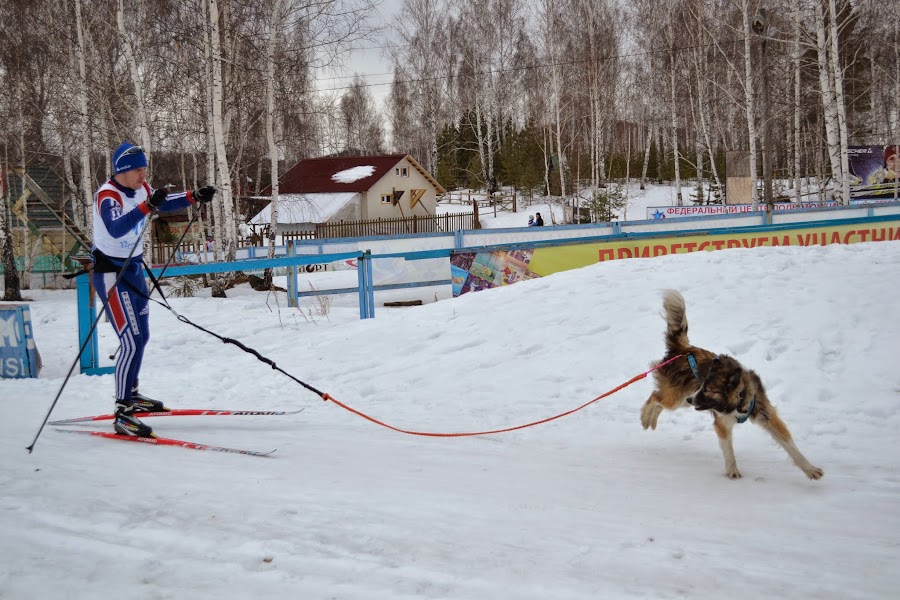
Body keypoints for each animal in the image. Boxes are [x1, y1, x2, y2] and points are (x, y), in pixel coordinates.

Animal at [640, 288, 824, 480]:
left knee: (659, 402)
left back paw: (651, 420)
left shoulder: (766, 414)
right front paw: (732, 470)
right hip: (679, 398)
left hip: (683, 400)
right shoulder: (722, 423)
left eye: (707, 389)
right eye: (703, 386)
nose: (693, 399)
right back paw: (645, 418)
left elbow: (790, 445)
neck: (739, 402)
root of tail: (684, 350)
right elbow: (728, 450)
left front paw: (810, 469)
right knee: (654, 397)